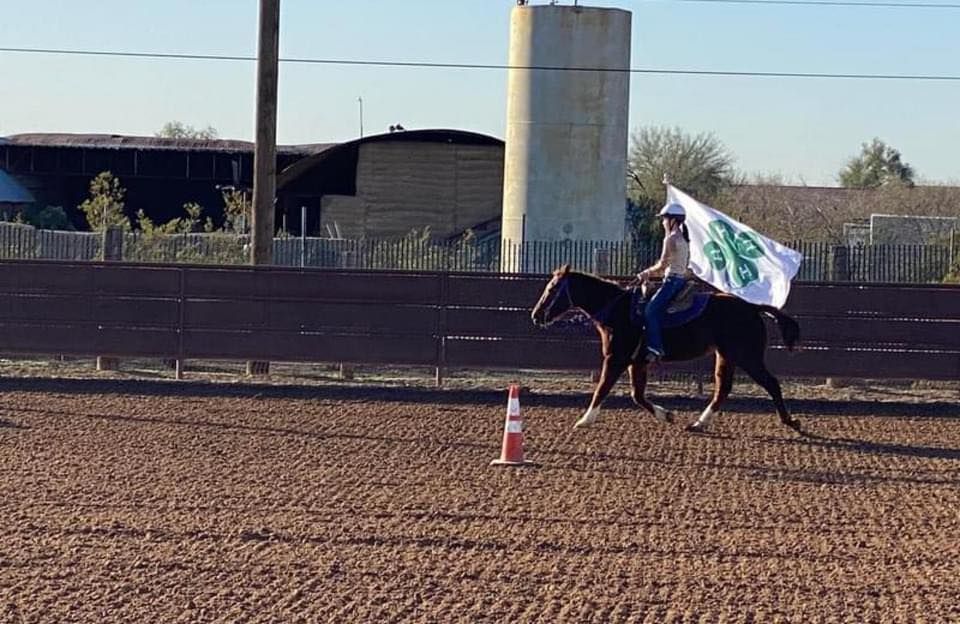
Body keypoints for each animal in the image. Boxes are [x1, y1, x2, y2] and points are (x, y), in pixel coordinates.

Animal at [532, 264, 804, 434]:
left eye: (552, 289)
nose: (536, 315)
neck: (619, 310)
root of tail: (752, 307)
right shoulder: (637, 362)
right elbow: (637, 396)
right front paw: (667, 415)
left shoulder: (616, 358)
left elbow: (602, 388)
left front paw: (584, 420)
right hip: (726, 356)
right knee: (723, 389)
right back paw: (698, 424)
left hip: (748, 357)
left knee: (771, 384)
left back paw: (791, 422)